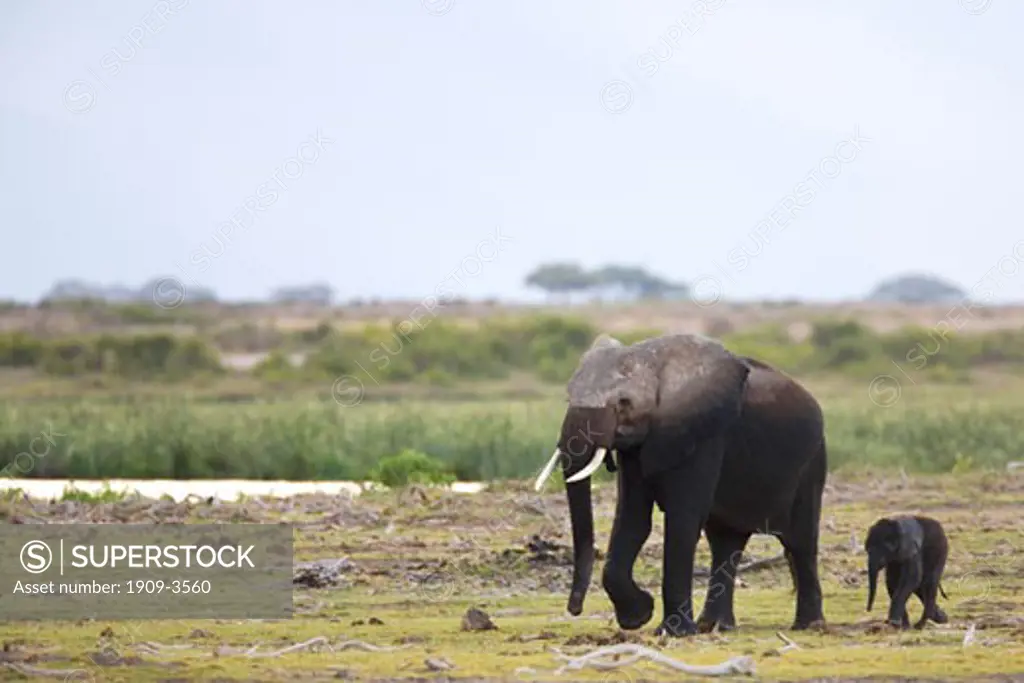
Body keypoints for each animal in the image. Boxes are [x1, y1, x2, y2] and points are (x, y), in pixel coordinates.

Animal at [532, 333, 827, 638]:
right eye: (568, 397)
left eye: (624, 403)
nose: (574, 609)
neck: (653, 361)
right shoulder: (637, 448)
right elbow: (631, 519)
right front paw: (639, 617)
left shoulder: (705, 435)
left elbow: (683, 519)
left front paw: (672, 632)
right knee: (726, 542)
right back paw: (714, 626)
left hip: (812, 463)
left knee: (800, 542)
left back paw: (808, 626)